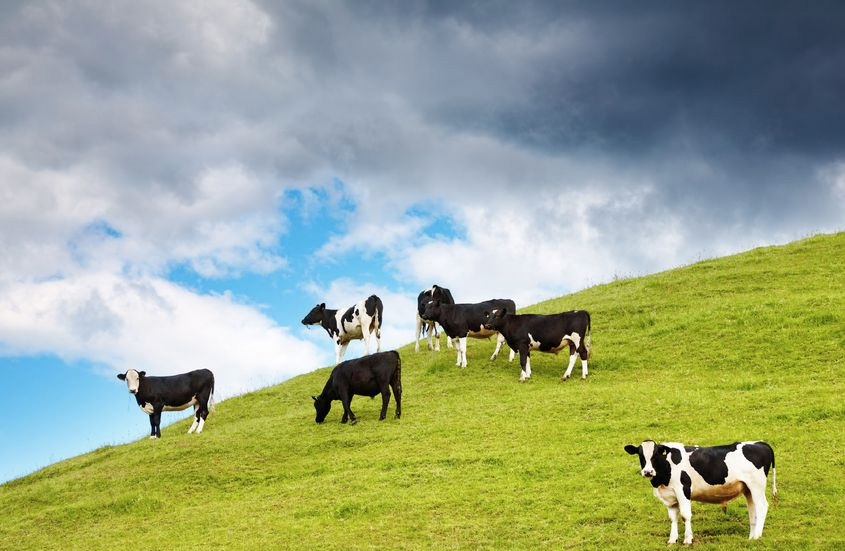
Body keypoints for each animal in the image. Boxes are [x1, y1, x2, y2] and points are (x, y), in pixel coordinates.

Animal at [624, 440, 776, 544]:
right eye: (640, 455)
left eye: (655, 454)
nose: (648, 472)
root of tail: (759, 443)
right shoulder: (670, 497)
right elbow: (673, 518)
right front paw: (672, 540)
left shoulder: (683, 490)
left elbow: (685, 515)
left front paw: (687, 540)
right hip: (748, 489)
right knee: (752, 511)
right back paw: (751, 537)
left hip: (757, 485)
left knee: (762, 507)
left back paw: (757, 537)